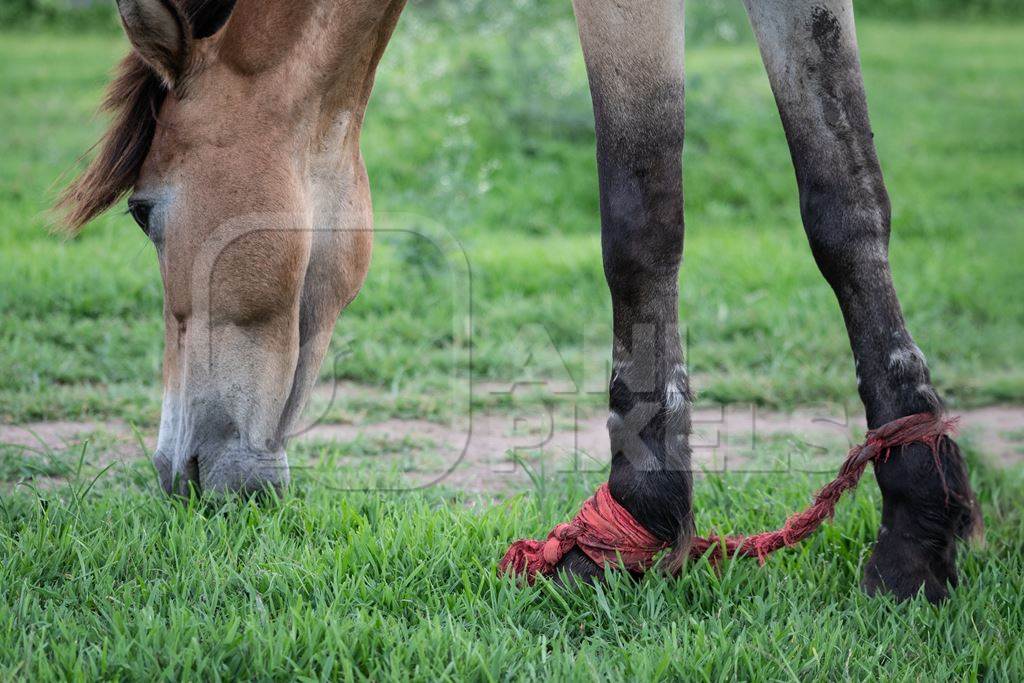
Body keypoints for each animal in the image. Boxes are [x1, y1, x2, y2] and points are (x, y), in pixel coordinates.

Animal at [59, 0, 978, 602]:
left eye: (144, 211)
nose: (175, 470)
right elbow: (845, 199)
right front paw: (917, 529)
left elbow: (643, 215)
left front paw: (634, 521)